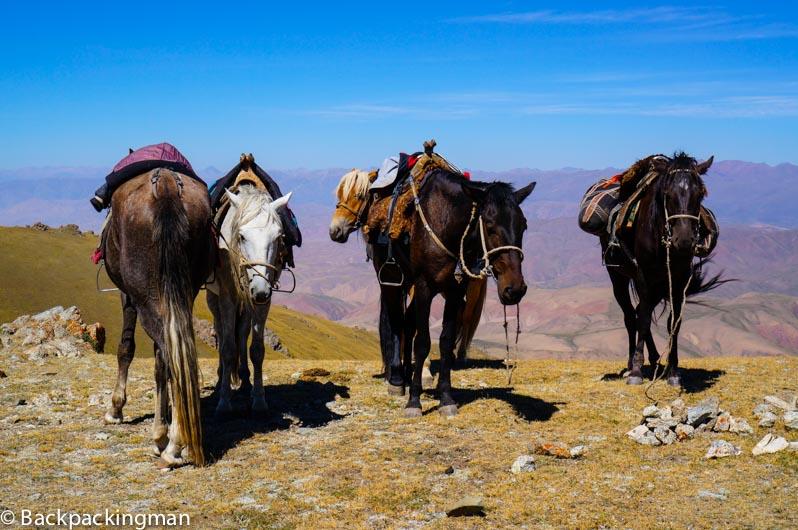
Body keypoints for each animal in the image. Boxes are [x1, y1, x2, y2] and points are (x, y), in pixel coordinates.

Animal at [103, 168, 213, 466]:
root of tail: (165, 184)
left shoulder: (127, 296)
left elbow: (126, 348)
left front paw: (116, 409)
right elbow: (158, 361)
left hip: (145, 296)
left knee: (169, 353)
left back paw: (173, 444)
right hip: (182, 290)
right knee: (174, 352)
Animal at [207, 185, 293, 415]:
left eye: (279, 236)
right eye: (242, 236)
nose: (260, 290)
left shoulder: (263, 301)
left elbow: (257, 350)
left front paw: (259, 400)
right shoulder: (227, 297)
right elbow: (228, 349)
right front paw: (224, 403)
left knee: (242, 332)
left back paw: (245, 381)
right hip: (214, 298)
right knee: (221, 330)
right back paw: (221, 379)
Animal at [402, 168, 535, 416]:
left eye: (523, 226)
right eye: (490, 225)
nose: (515, 289)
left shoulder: (455, 291)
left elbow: (446, 342)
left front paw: (446, 398)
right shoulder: (424, 288)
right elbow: (423, 342)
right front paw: (414, 402)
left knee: (408, 322)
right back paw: (398, 382)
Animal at [600, 153, 722, 387]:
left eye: (700, 194)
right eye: (668, 194)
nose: (684, 241)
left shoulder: (679, 279)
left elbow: (674, 321)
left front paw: (673, 371)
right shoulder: (643, 276)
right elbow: (644, 319)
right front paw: (637, 371)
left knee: (640, 311)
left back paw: (656, 359)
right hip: (618, 277)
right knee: (631, 316)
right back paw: (631, 364)